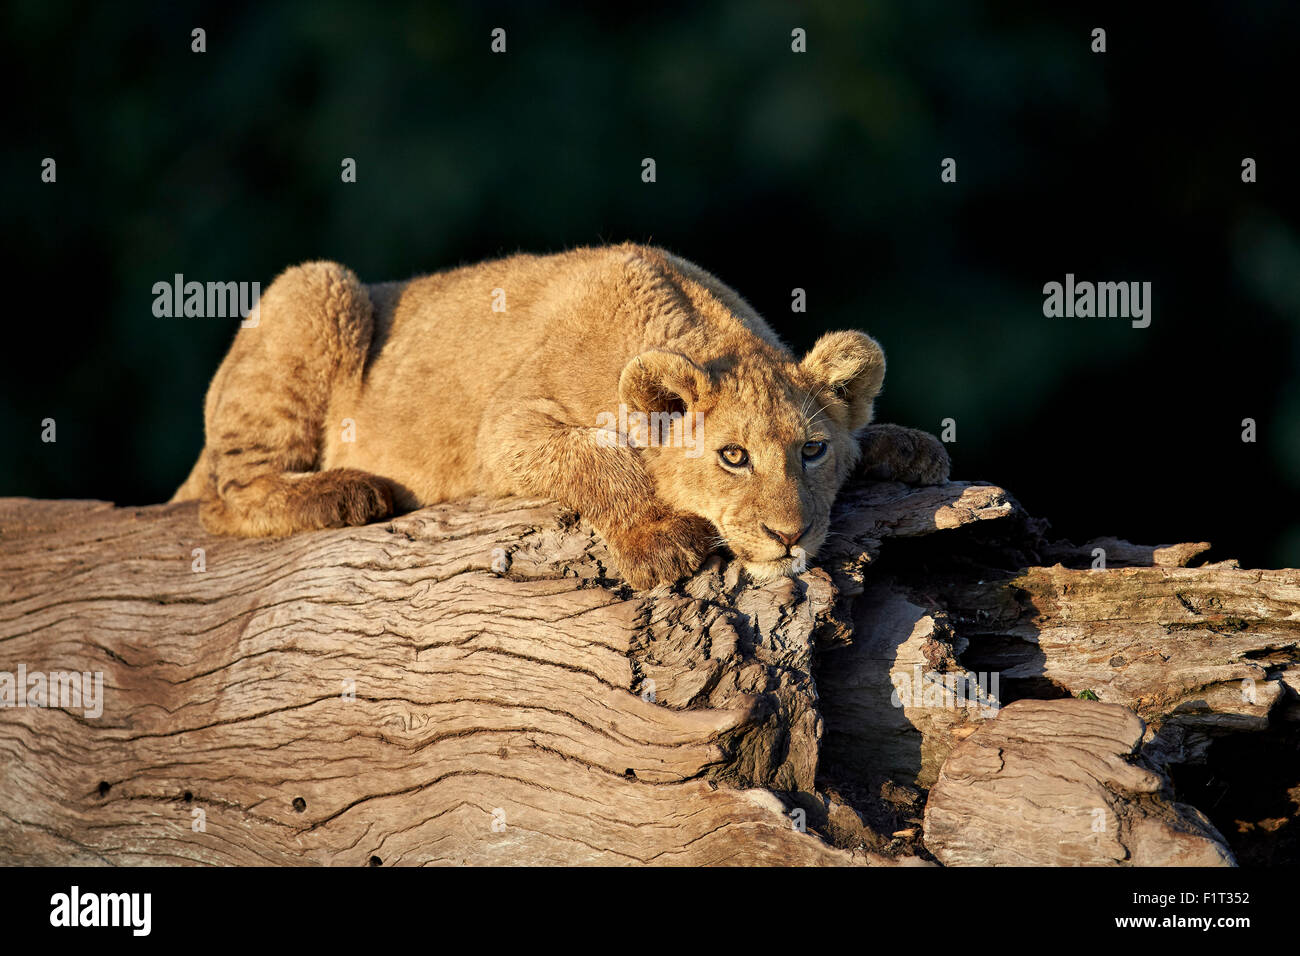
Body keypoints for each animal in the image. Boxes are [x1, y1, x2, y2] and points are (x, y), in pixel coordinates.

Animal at [172, 243, 949, 588]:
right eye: (733, 456)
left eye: (812, 451)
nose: (789, 536)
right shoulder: (504, 429)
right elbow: (598, 457)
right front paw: (660, 539)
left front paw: (909, 446)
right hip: (317, 287)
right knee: (221, 499)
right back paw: (345, 492)